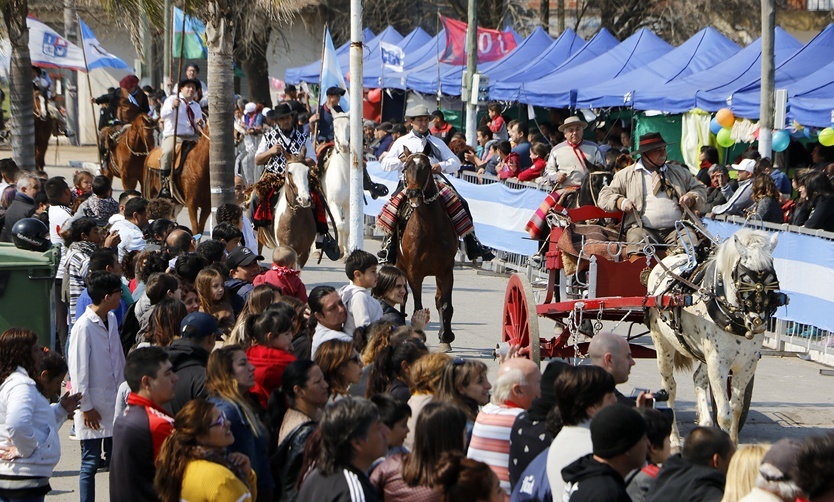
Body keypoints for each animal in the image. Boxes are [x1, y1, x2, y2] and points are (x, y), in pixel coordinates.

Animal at [396, 145, 456, 350]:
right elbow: (417, 307)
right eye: (405, 167)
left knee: (438, 300)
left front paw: (446, 337)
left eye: (427, 167)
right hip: (399, 268)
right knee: (403, 298)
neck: (429, 229)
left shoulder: (445, 271)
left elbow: (445, 305)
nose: (413, 193)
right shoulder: (414, 273)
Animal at [644, 227, 788, 444]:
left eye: (772, 280)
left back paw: (704, 422)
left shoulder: (747, 364)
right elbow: (724, 414)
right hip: (663, 345)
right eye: (745, 279)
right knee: (669, 388)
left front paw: (734, 443)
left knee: (698, 379)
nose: (758, 323)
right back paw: (675, 438)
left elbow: (736, 408)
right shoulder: (718, 363)